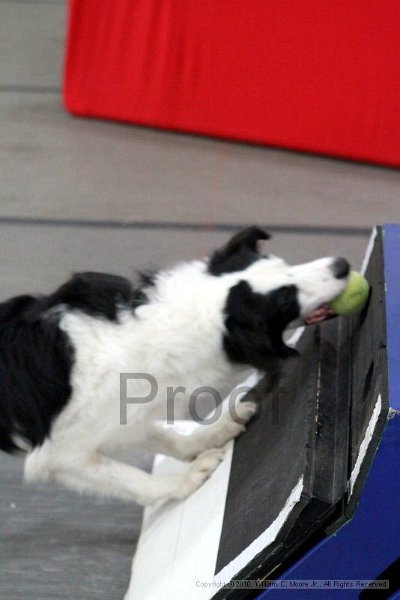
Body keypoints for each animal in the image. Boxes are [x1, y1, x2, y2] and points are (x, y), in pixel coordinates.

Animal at [0, 227, 348, 504]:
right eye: (287, 298)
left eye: (284, 265)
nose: (342, 265)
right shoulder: (59, 454)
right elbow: (130, 478)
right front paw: (185, 479)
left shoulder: (126, 416)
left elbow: (163, 437)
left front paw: (208, 436)